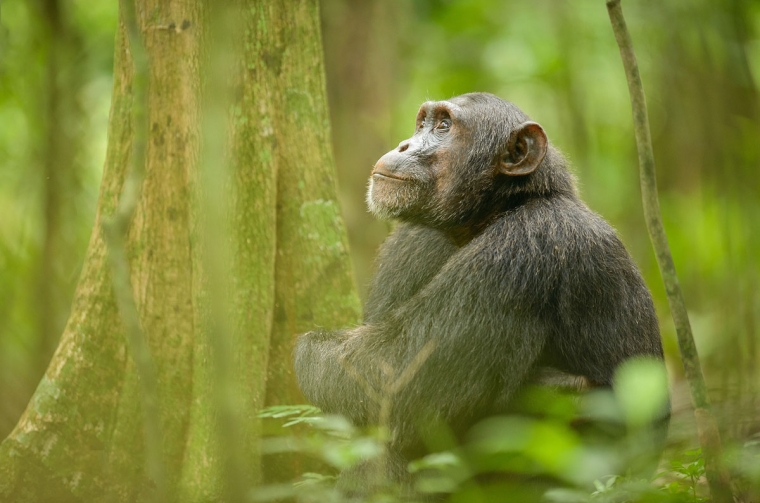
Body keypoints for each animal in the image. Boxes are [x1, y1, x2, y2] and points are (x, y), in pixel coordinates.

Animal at [294, 92, 668, 494]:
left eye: (444, 126)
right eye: (423, 123)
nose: (405, 144)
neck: (493, 212)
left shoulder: (525, 246)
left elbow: (390, 373)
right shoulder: (408, 242)